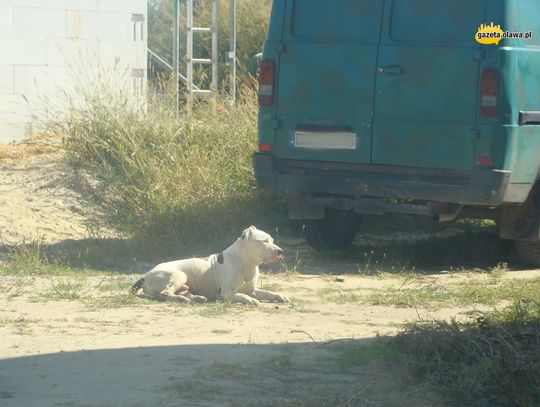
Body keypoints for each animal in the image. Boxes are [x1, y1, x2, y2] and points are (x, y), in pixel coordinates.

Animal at [130, 226, 288, 306]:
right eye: (264, 241)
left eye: (272, 240)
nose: (280, 251)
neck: (247, 262)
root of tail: (145, 276)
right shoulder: (226, 292)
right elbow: (242, 295)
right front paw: (250, 300)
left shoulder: (252, 290)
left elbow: (267, 292)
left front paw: (279, 296)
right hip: (179, 275)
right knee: (165, 293)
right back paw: (184, 300)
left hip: (184, 284)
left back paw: (197, 298)